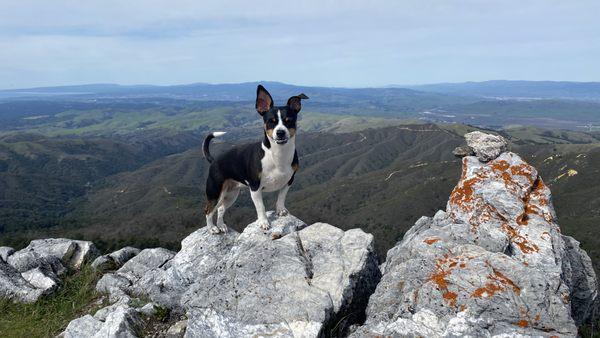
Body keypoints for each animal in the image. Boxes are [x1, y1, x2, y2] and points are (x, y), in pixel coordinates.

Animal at [203, 84, 310, 234]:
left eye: (289, 121)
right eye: (271, 122)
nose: (280, 132)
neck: (277, 155)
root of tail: (214, 160)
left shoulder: (289, 181)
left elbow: (281, 197)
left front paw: (281, 210)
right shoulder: (255, 188)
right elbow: (261, 207)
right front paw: (264, 222)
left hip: (231, 193)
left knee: (221, 208)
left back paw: (221, 225)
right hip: (215, 192)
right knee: (208, 210)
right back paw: (212, 228)